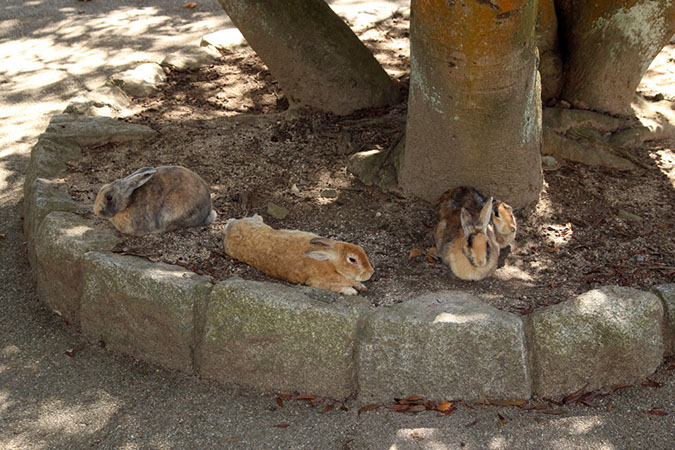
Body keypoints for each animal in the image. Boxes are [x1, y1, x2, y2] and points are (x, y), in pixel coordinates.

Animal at [222, 214, 374, 295]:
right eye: (352, 260)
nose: (371, 272)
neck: (331, 264)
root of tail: (230, 230)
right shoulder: (316, 283)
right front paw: (351, 291)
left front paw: (361, 286)